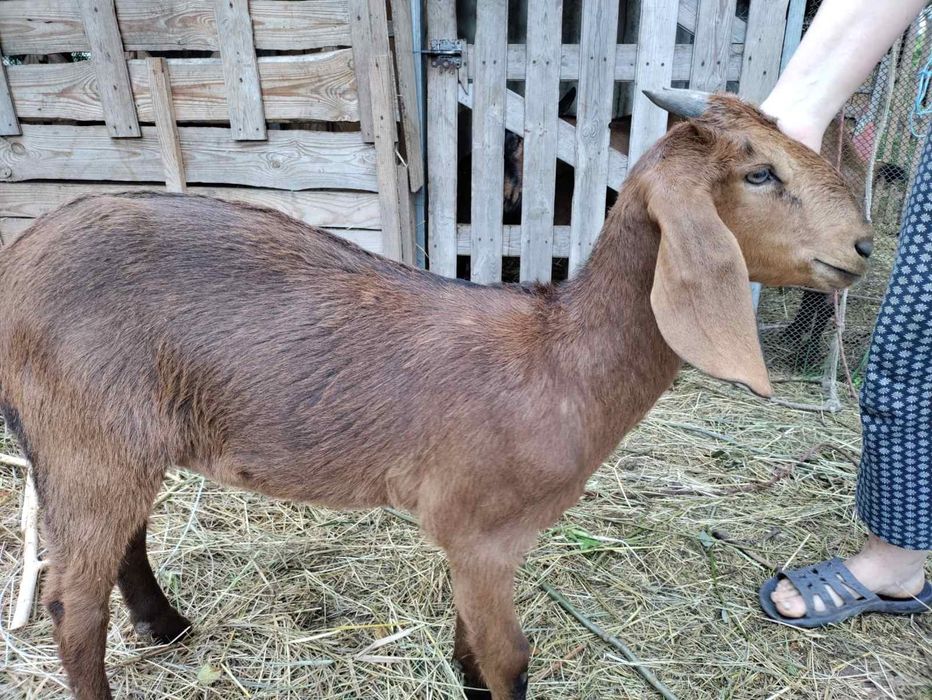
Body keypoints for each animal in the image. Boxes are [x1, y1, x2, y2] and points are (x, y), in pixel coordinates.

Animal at [0, 90, 872, 700]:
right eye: (760, 173)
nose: (863, 245)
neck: (561, 359)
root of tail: (19, 259)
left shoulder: (471, 544)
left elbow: (471, 656)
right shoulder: (484, 533)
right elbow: (509, 661)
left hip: (118, 441)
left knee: (126, 542)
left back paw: (170, 626)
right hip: (84, 437)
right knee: (72, 605)